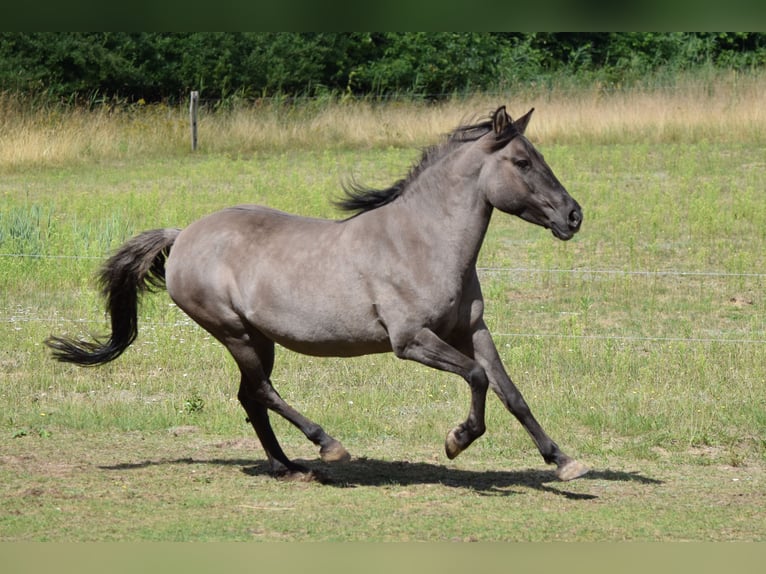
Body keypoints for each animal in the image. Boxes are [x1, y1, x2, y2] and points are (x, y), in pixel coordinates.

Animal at [46, 107, 588, 482]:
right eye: (522, 161)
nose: (573, 216)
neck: (423, 242)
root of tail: (183, 235)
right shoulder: (411, 340)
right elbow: (476, 377)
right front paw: (457, 440)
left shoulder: (471, 329)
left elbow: (510, 392)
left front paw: (564, 461)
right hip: (234, 331)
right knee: (262, 391)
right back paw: (327, 446)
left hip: (257, 337)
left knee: (250, 396)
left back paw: (289, 467)